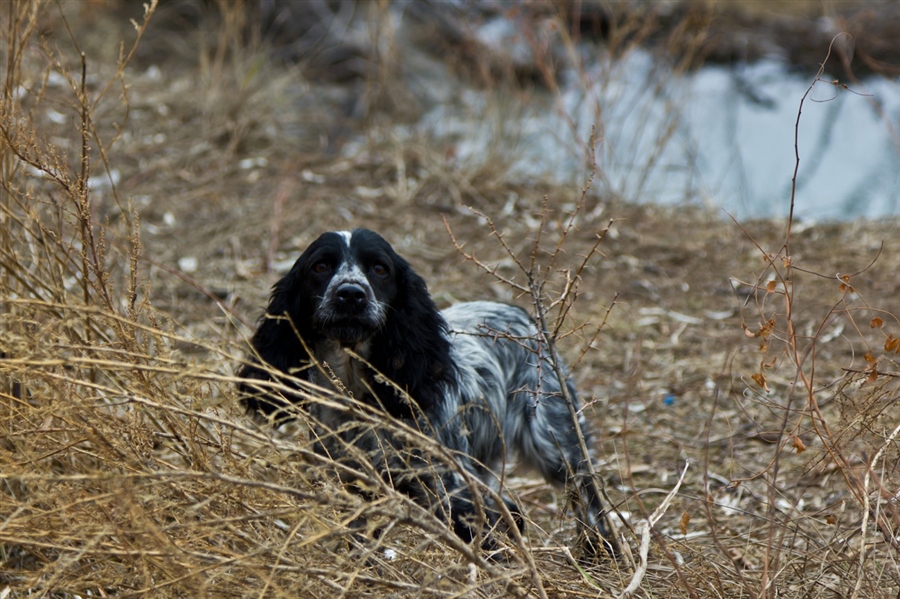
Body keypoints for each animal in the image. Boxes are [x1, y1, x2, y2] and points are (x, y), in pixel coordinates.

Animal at [237, 229, 620, 556]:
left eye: (380, 268)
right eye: (320, 267)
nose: (350, 294)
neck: (358, 391)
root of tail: (520, 314)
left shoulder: (453, 491)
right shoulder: (355, 488)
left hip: (554, 439)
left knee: (586, 494)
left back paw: (601, 550)